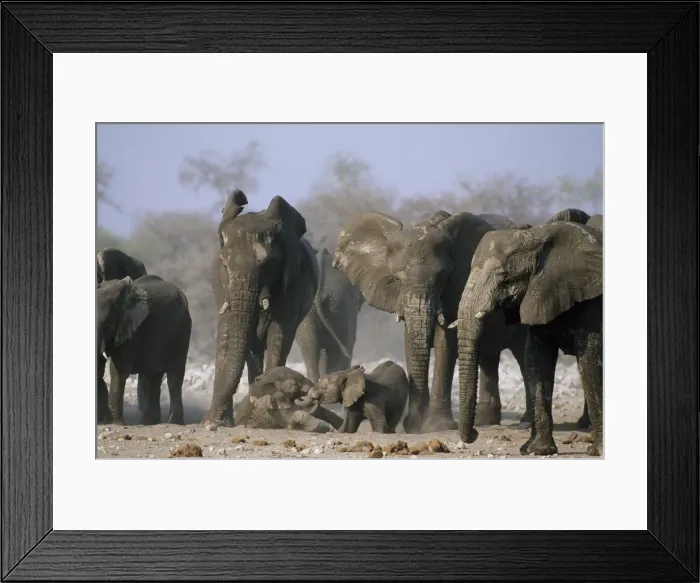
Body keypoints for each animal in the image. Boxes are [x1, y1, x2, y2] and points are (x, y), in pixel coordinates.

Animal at [97, 274, 192, 425]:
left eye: (107, 324)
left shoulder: (134, 329)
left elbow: (119, 369)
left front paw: (116, 423)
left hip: (182, 330)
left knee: (174, 376)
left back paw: (173, 422)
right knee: (154, 376)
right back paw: (148, 422)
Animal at [202, 193, 320, 427]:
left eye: (267, 265)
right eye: (225, 265)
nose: (207, 423)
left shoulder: (293, 280)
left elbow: (279, 335)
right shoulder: (222, 285)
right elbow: (227, 338)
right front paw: (217, 423)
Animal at [332, 209, 530, 434]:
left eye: (442, 277)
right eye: (396, 279)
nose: (411, 423)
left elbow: (446, 343)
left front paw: (437, 426)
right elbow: (410, 340)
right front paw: (415, 426)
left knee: (522, 354)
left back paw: (525, 420)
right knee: (489, 356)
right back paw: (485, 421)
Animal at [450, 221, 603, 457]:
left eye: (502, 275)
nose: (475, 434)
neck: (537, 236)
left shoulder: (590, 300)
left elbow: (590, 360)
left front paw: (597, 451)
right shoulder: (541, 293)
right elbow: (537, 358)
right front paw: (536, 450)